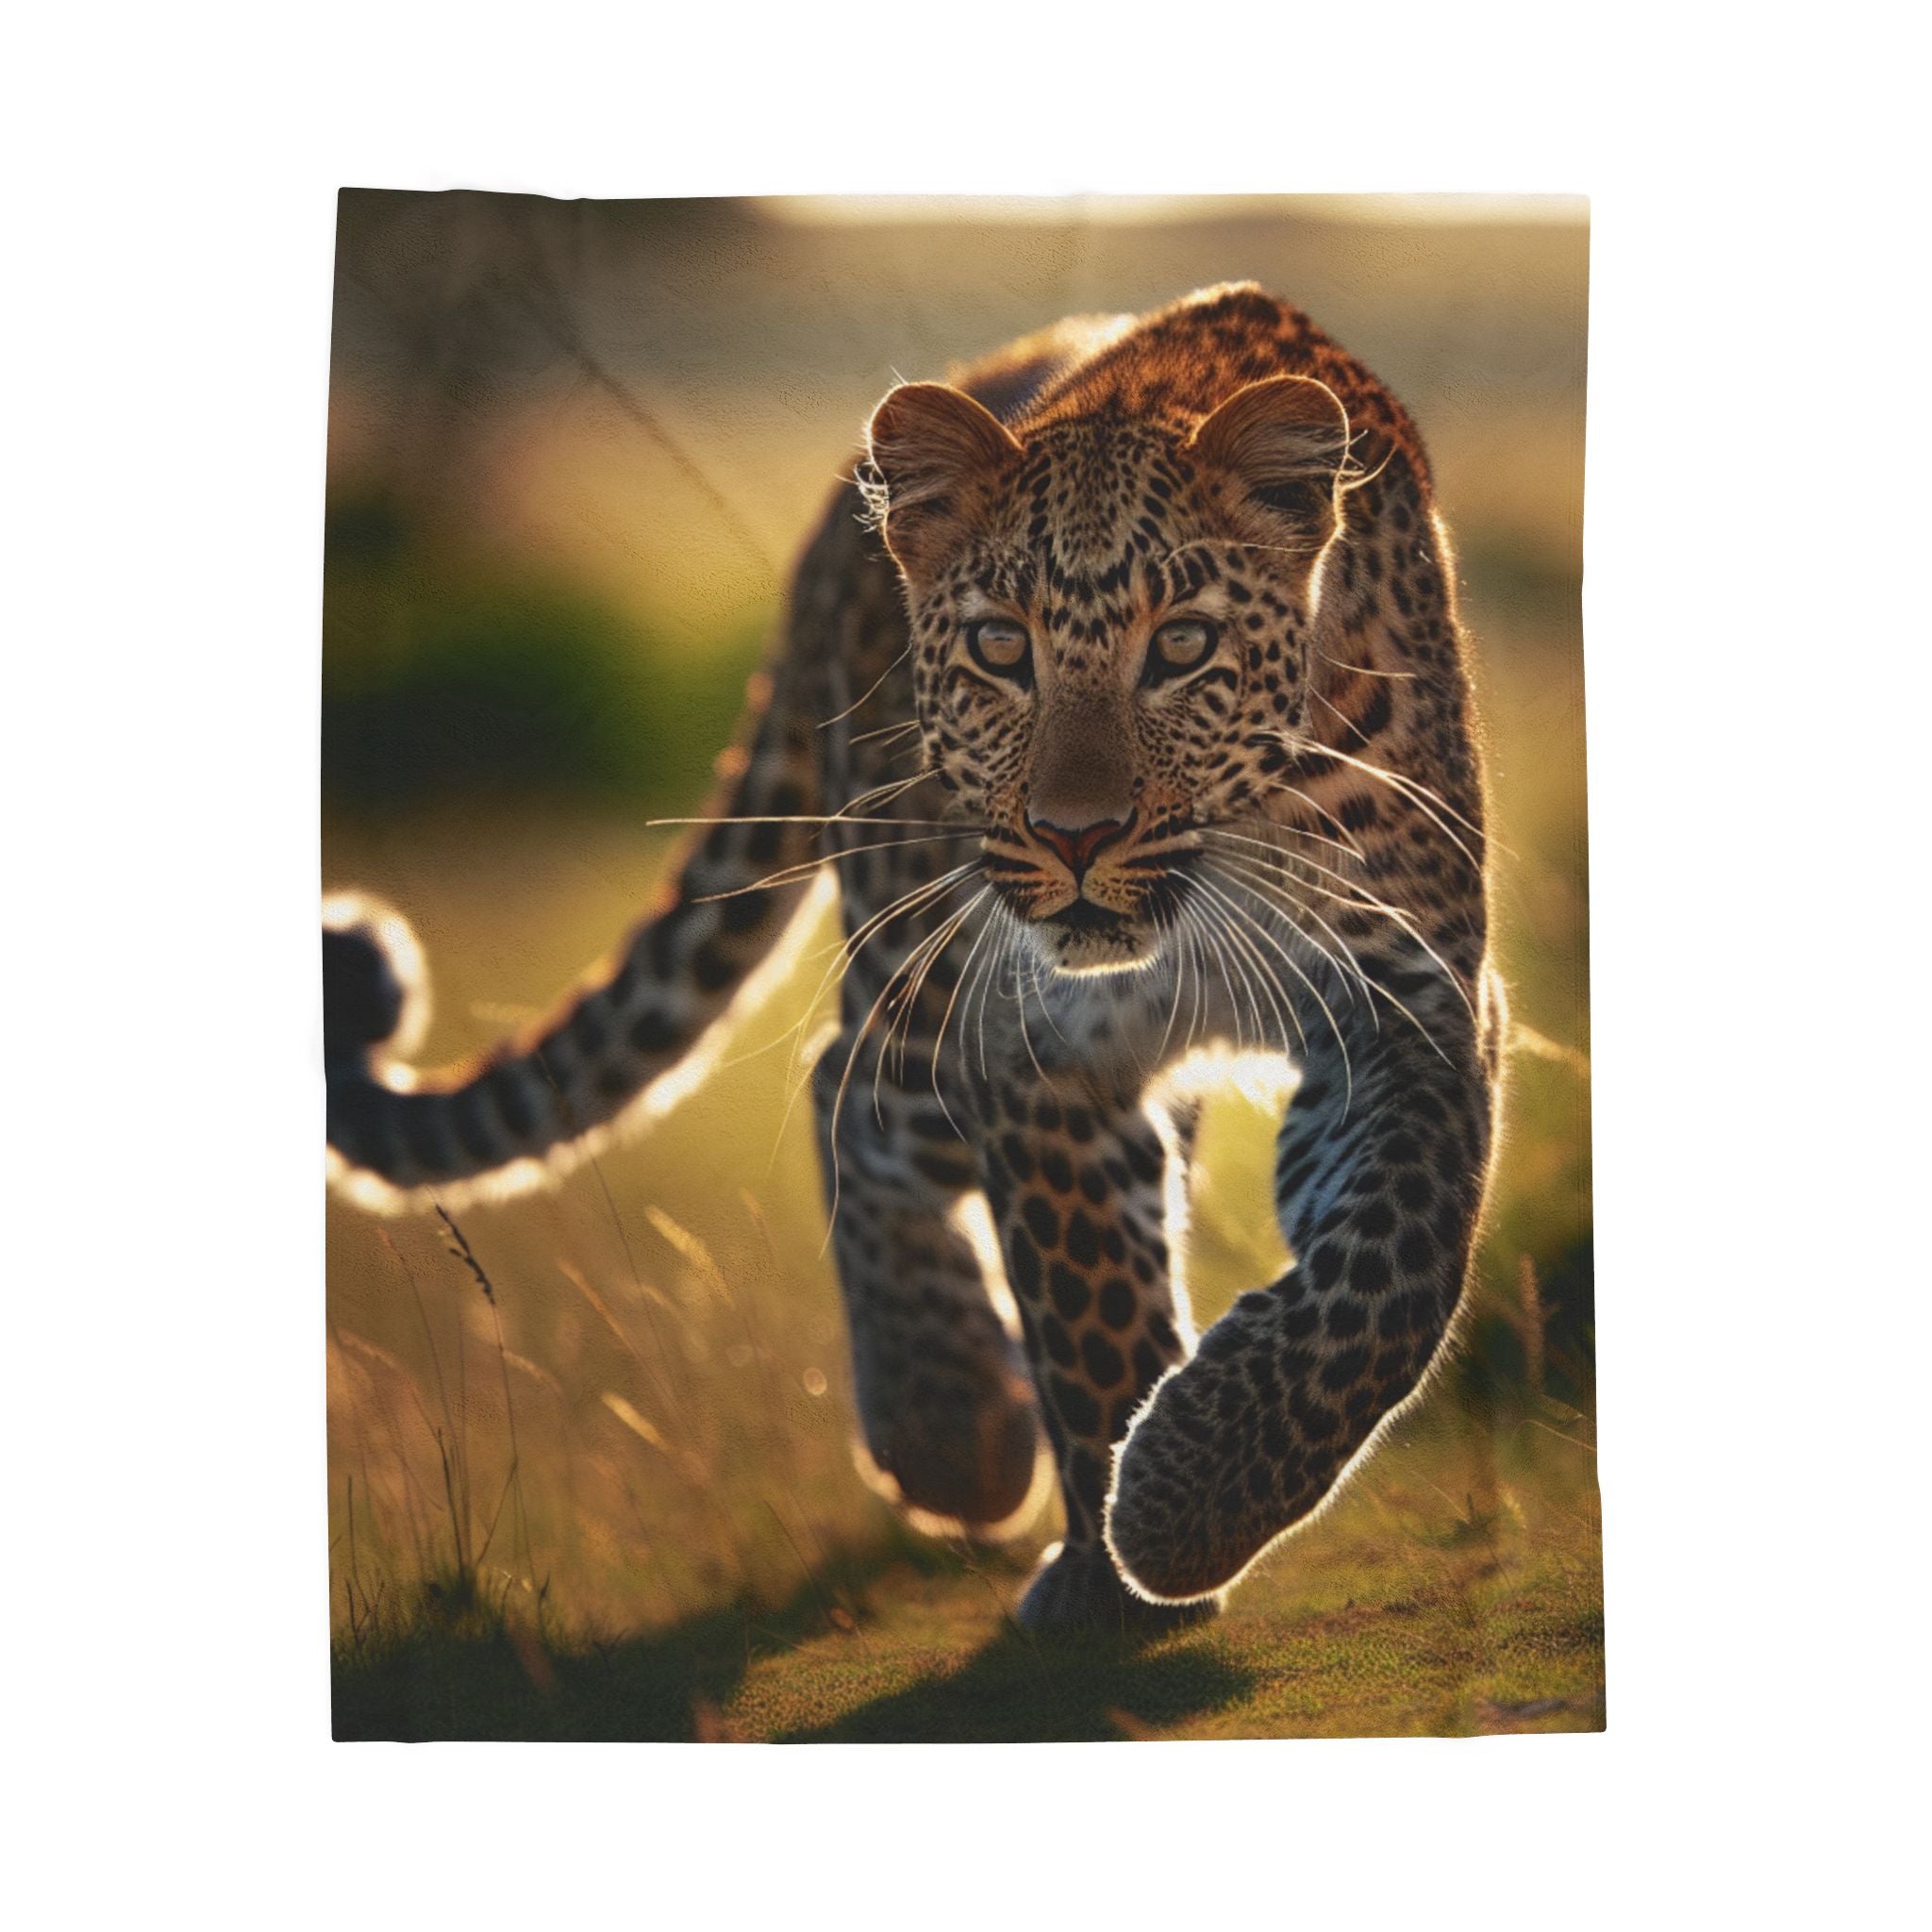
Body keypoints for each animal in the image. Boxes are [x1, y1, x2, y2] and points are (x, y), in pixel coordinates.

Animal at [324, 282, 1506, 1635]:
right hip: (921, 956)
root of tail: (834, 521)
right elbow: (1088, 1303)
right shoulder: (1036, 1046)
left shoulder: (1414, 1008)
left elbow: (1393, 1267)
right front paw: (1125, 1568)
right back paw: (951, 1430)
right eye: (1000, 648)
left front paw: (1186, 1498)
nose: (1074, 835)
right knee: (849, 1084)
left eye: (1182, 646)